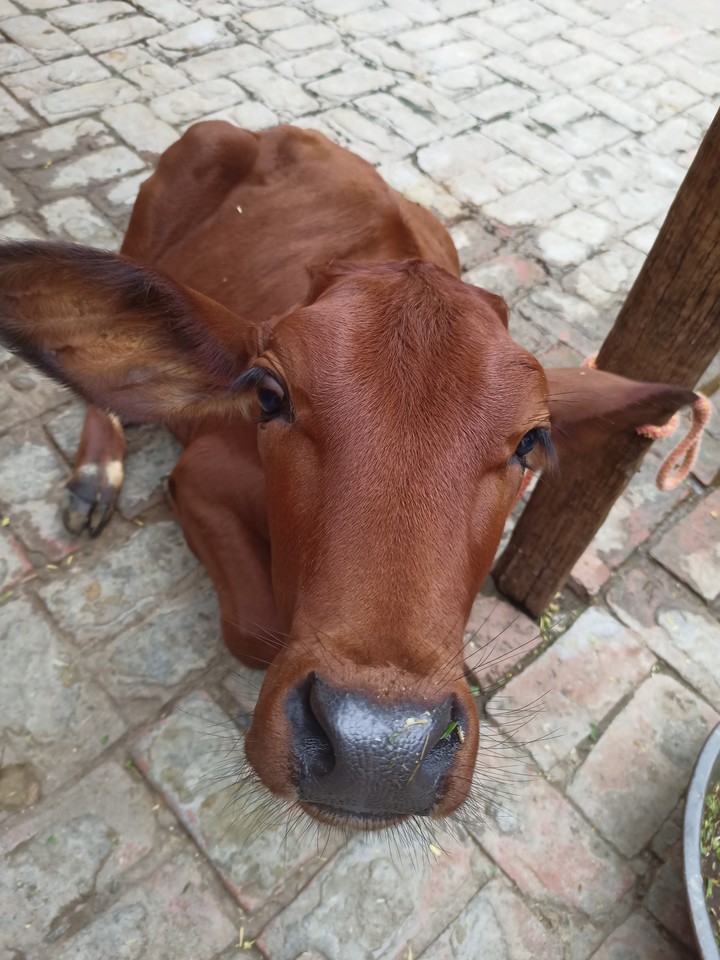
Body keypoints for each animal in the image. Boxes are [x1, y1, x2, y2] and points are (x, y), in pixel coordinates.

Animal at [0, 122, 697, 835]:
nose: (379, 750)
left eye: (532, 440)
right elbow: (253, 627)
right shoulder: (200, 476)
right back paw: (96, 473)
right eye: (270, 396)